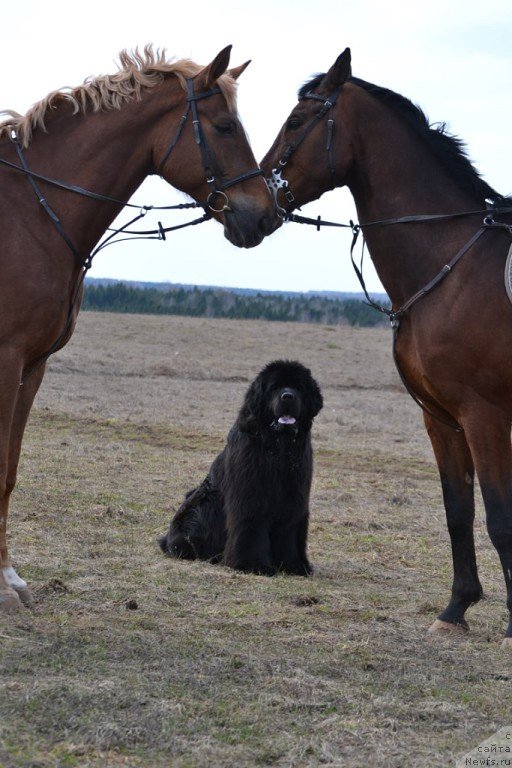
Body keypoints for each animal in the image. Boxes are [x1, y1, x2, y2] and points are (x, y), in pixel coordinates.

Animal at [0, 46, 278, 612]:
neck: (29, 215)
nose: (265, 216)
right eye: (223, 126)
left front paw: (10, 576)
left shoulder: (31, 367)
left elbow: (10, 469)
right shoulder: (6, 357)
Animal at [158, 360, 322, 576]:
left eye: (298, 387)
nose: (287, 396)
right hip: (195, 514)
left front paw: (293, 565)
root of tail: (166, 539)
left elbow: (290, 531)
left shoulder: (294, 497)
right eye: (275, 387)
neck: (279, 447)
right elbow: (251, 527)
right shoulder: (249, 496)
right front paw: (253, 565)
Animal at [262, 49, 512, 648]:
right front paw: (456, 608)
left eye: (298, 121)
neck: (452, 263)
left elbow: (500, 516)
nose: (252, 199)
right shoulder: (443, 418)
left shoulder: (486, 415)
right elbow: (457, 511)